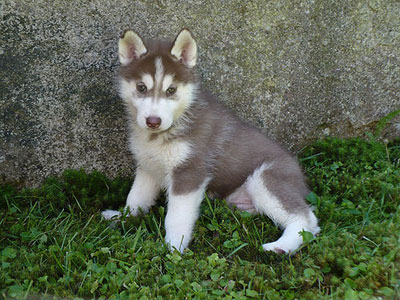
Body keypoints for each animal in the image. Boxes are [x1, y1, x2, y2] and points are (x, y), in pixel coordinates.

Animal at [101, 28, 320, 254]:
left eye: (171, 90)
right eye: (142, 87)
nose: (153, 121)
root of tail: (300, 175)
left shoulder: (190, 172)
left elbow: (176, 218)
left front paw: (173, 248)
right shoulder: (148, 167)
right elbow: (136, 197)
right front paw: (122, 216)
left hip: (265, 180)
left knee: (307, 219)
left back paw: (281, 247)